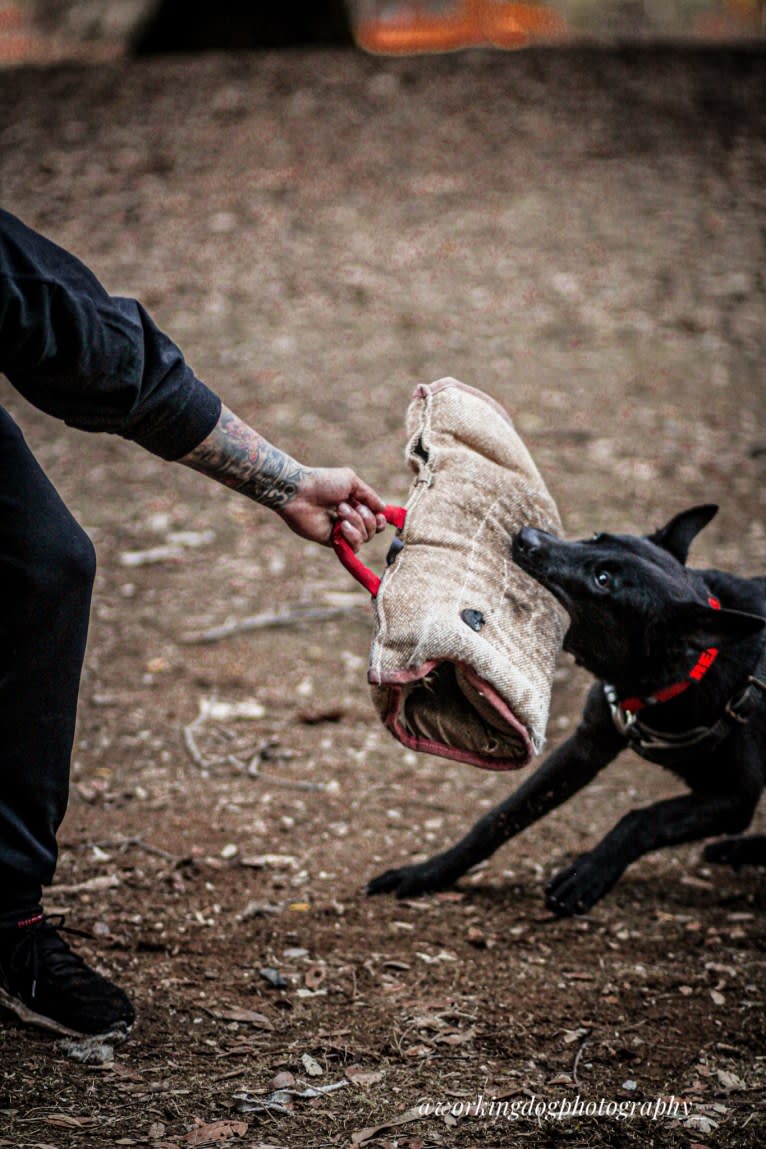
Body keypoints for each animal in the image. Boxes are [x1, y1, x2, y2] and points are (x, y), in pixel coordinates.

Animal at [369, 505, 766, 914]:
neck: (690, 668)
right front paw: (428, 872)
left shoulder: (734, 799)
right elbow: (502, 816)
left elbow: (642, 818)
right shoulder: (585, 747)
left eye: (603, 580)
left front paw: (587, 873)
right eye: (597, 537)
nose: (526, 535)